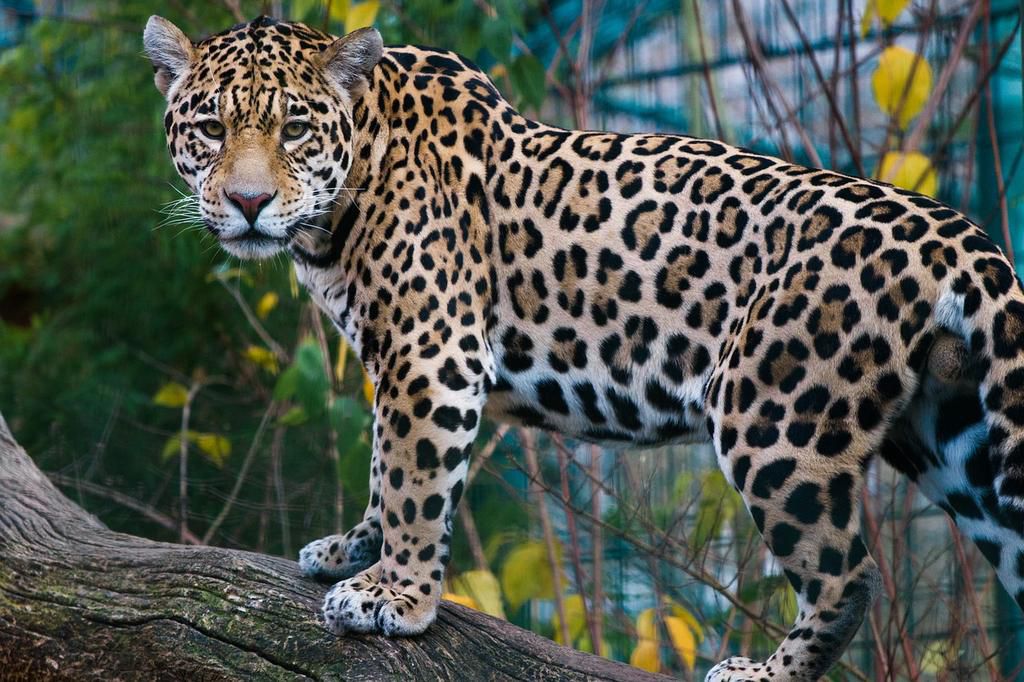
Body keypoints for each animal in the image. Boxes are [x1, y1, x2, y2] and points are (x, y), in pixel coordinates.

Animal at [143, 15, 1024, 681]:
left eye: (294, 129)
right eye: (211, 128)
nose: (248, 202)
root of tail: (958, 236)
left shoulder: (433, 356)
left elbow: (413, 480)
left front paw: (394, 596)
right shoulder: (406, 362)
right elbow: (384, 472)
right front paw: (353, 549)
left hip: (775, 423)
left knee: (849, 576)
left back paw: (763, 673)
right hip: (959, 447)